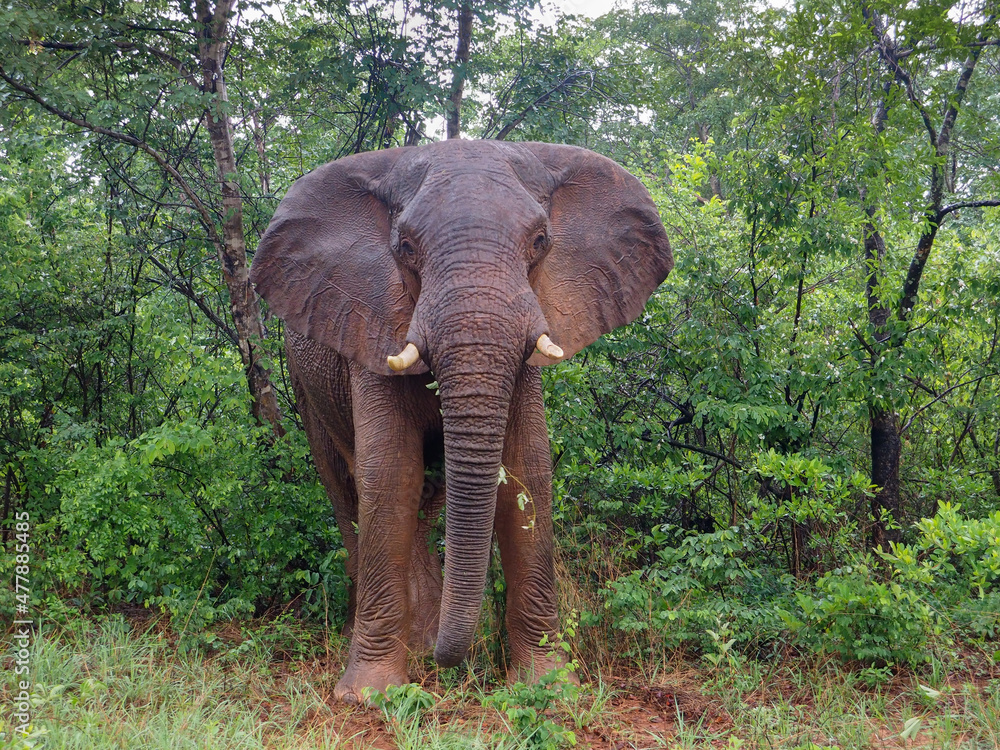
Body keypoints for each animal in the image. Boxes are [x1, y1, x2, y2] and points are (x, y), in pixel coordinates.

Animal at [249, 139, 673, 703]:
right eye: (405, 247)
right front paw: (367, 696)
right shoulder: (372, 323)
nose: (452, 662)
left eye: (540, 241)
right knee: (344, 485)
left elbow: (527, 471)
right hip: (304, 379)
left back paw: (424, 637)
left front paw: (550, 688)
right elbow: (390, 475)